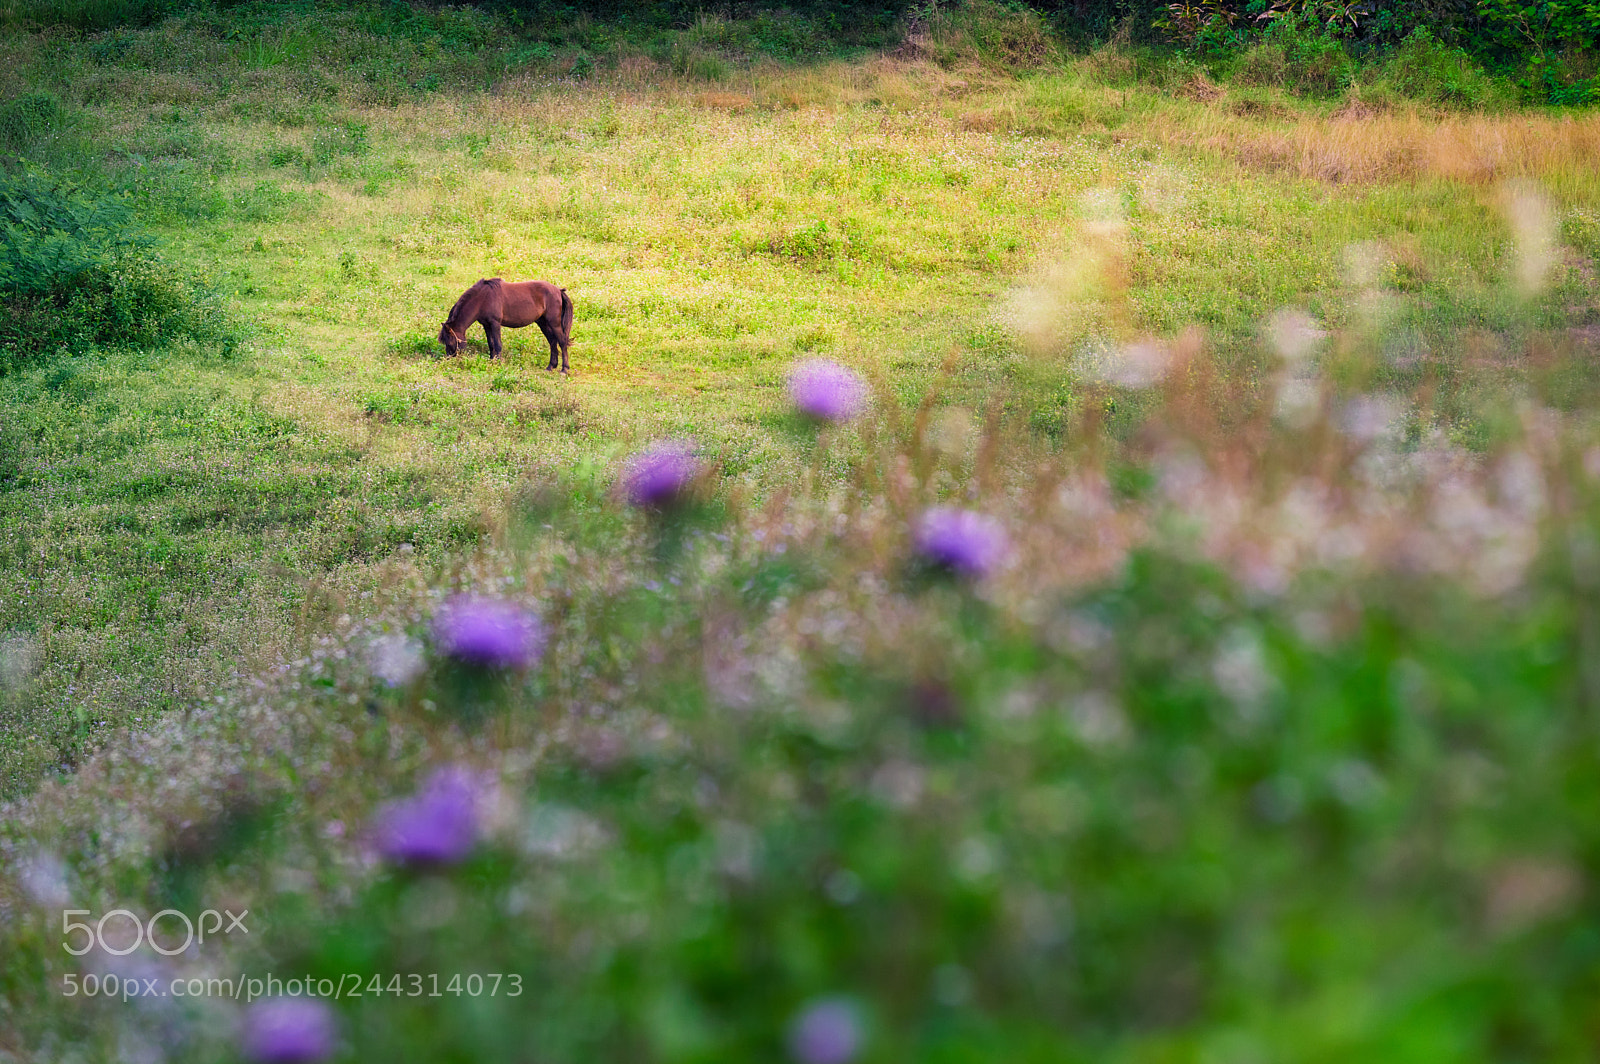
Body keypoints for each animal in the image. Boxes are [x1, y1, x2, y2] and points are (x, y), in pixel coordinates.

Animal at [438, 278, 573, 372]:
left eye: (450, 341)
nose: (449, 360)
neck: (483, 298)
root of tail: (558, 291)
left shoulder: (495, 323)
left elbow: (498, 345)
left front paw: (499, 363)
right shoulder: (486, 325)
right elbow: (491, 344)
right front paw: (492, 361)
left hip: (554, 323)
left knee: (562, 342)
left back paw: (564, 369)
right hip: (543, 323)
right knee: (552, 341)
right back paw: (551, 366)